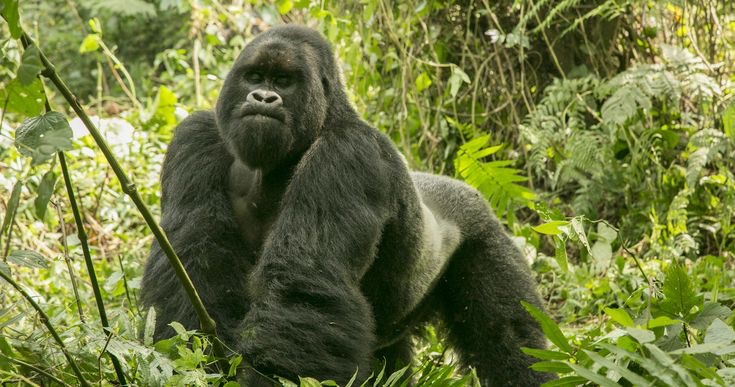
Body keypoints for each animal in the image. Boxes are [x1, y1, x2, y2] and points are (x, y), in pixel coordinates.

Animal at [139, 25, 552, 386]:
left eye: (284, 81)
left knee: (511, 339)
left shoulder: (348, 152)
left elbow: (305, 283)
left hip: (484, 233)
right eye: (255, 76)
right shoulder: (197, 136)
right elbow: (191, 261)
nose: (263, 98)